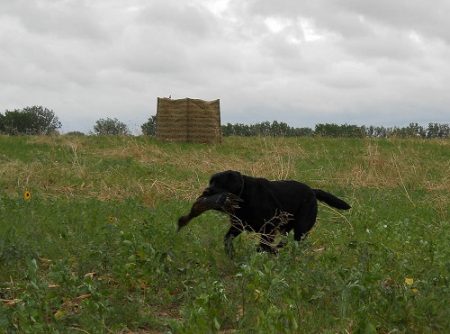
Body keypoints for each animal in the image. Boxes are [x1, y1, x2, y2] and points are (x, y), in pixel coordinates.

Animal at [179, 171, 352, 258]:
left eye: (219, 183)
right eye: (211, 181)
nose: (205, 192)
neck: (244, 196)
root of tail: (312, 191)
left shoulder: (268, 227)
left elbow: (263, 245)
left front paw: (265, 251)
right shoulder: (238, 225)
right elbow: (227, 239)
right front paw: (231, 254)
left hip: (301, 227)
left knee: (294, 241)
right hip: (285, 226)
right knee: (285, 240)